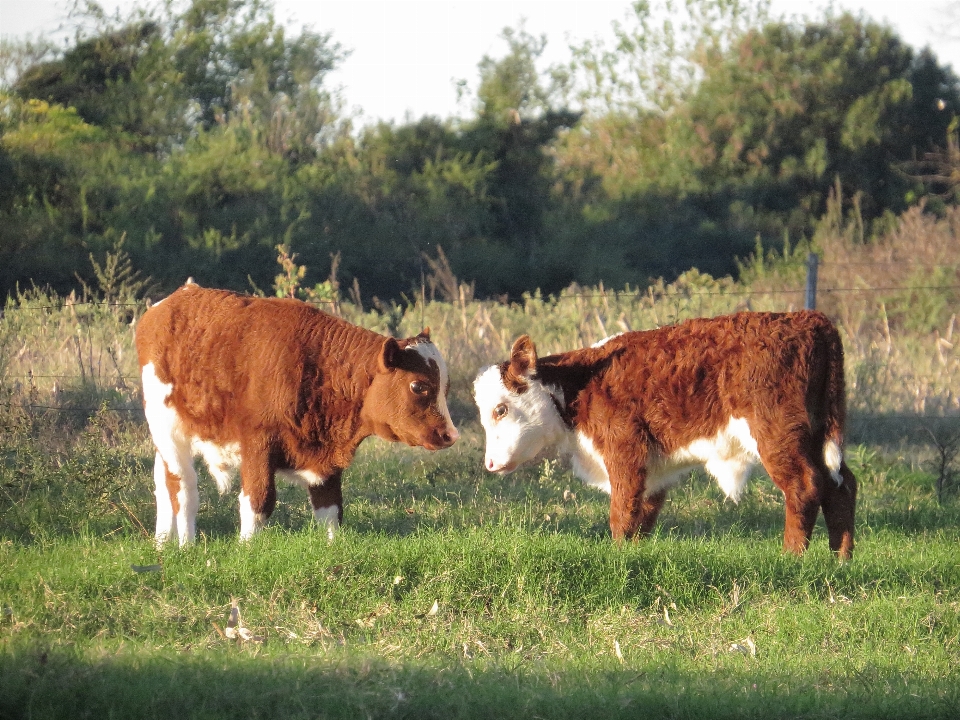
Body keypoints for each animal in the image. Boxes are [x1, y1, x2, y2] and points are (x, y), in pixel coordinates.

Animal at [136, 282, 462, 544]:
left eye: (445, 387)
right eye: (418, 386)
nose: (450, 435)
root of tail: (172, 300)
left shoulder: (326, 458)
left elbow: (331, 508)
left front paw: (333, 548)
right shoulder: (258, 444)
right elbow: (258, 501)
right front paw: (246, 549)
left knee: (163, 484)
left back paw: (162, 544)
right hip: (168, 430)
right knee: (183, 489)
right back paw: (186, 545)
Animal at [476, 312, 860, 560]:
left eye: (501, 409)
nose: (490, 464)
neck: (581, 386)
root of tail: (811, 319)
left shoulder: (625, 449)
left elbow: (622, 512)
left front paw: (617, 558)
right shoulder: (652, 468)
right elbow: (642, 514)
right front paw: (634, 557)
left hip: (777, 433)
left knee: (804, 485)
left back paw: (791, 557)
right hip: (818, 432)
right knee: (841, 484)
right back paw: (840, 559)